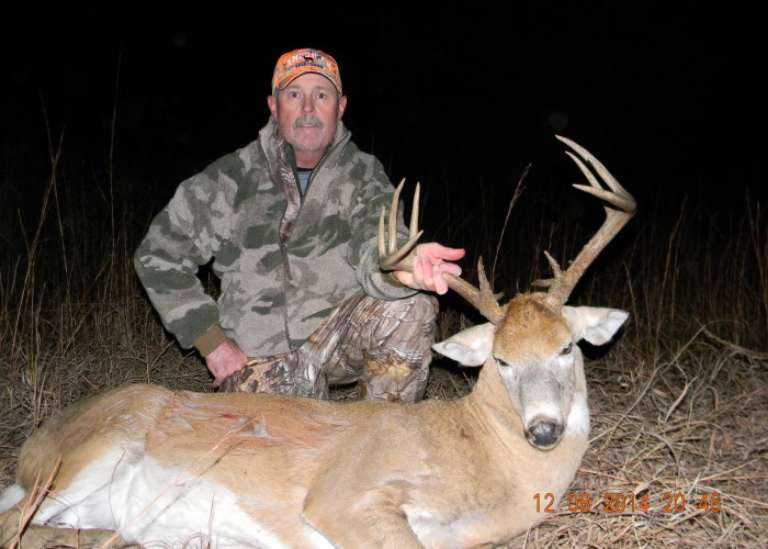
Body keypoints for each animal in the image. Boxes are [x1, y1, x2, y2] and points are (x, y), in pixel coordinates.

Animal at [0, 135, 635, 548]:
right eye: (501, 360)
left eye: (567, 347)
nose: (544, 430)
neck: (482, 455)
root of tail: (34, 444)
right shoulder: (342, 496)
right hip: (83, 458)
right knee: (17, 526)